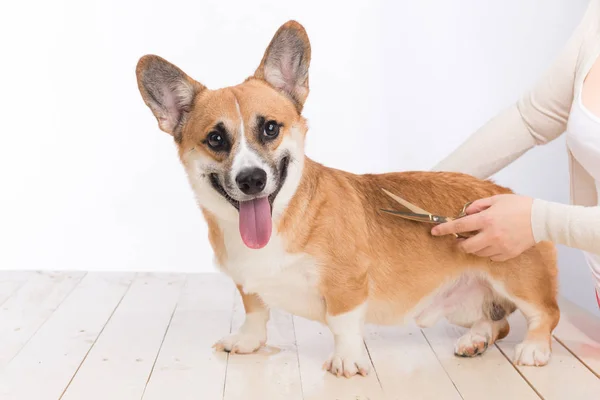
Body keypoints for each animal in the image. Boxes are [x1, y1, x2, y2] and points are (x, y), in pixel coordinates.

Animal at [135, 19, 556, 378]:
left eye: (270, 128)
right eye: (215, 138)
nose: (252, 179)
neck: (282, 219)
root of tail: (507, 193)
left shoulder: (347, 285)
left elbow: (342, 324)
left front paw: (347, 361)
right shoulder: (247, 284)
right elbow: (255, 311)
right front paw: (248, 341)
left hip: (520, 283)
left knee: (545, 315)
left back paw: (534, 348)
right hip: (460, 307)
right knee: (498, 322)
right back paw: (476, 340)